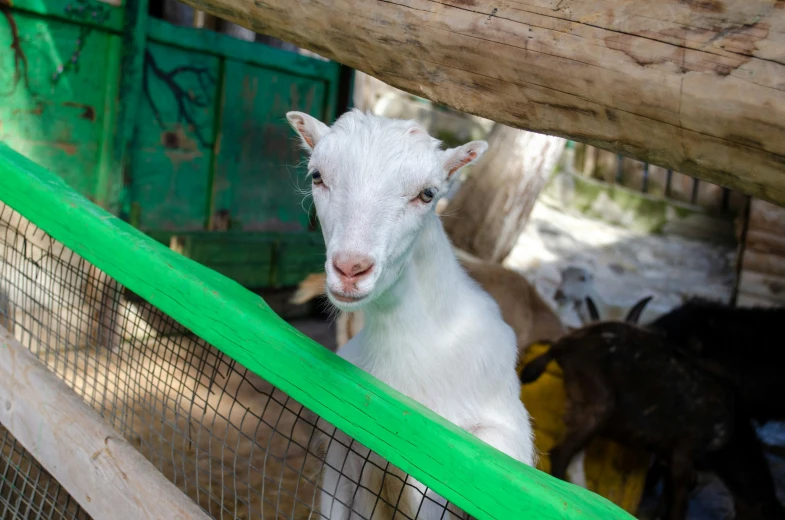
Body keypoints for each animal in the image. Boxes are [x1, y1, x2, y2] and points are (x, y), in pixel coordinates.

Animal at [516, 298, 780, 520]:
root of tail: (564, 343)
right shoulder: (684, 450)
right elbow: (679, 503)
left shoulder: (669, 453)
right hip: (597, 404)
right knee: (561, 453)